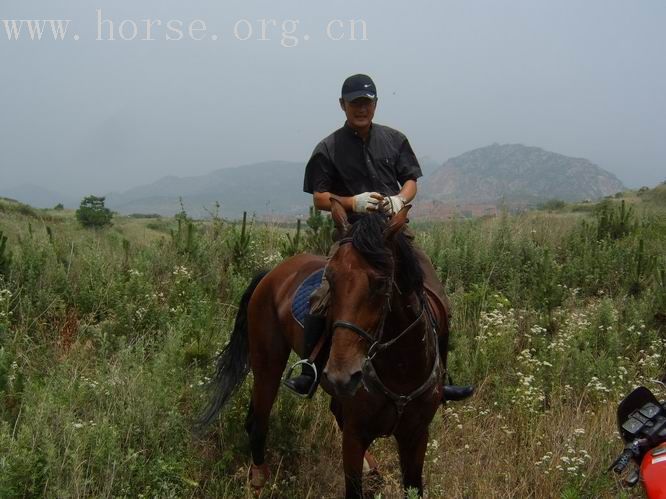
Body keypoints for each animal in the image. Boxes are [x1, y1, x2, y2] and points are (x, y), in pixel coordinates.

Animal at [197, 202, 446, 496]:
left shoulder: (416, 436)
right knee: (258, 421)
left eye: (381, 282)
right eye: (330, 279)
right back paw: (258, 478)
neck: (401, 370)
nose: (342, 376)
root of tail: (272, 273)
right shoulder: (354, 436)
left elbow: (414, 487)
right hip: (267, 363)